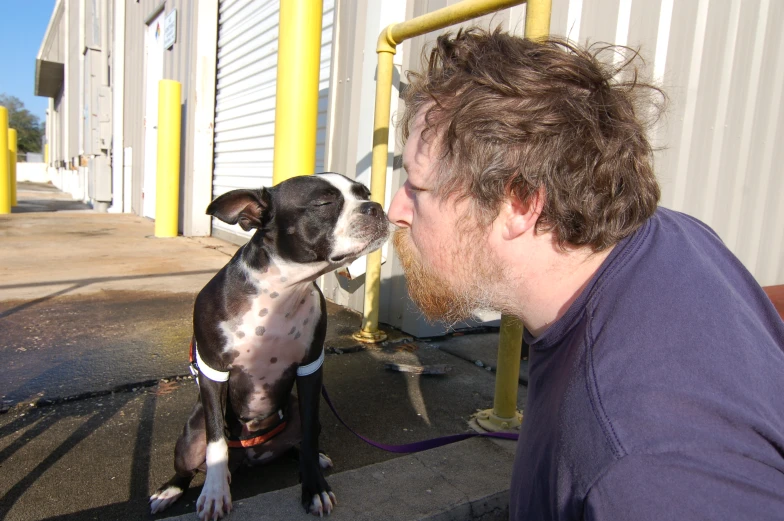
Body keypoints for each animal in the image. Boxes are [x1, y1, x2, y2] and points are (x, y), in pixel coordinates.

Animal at [149, 174, 388, 516]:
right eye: (324, 202)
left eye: (365, 194)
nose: (376, 206)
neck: (281, 290)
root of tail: (251, 455)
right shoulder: (212, 371)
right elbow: (216, 442)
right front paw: (215, 493)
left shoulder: (310, 368)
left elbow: (309, 436)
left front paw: (314, 487)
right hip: (189, 436)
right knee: (188, 465)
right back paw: (170, 490)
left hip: (296, 413)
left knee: (297, 444)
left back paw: (313, 458)